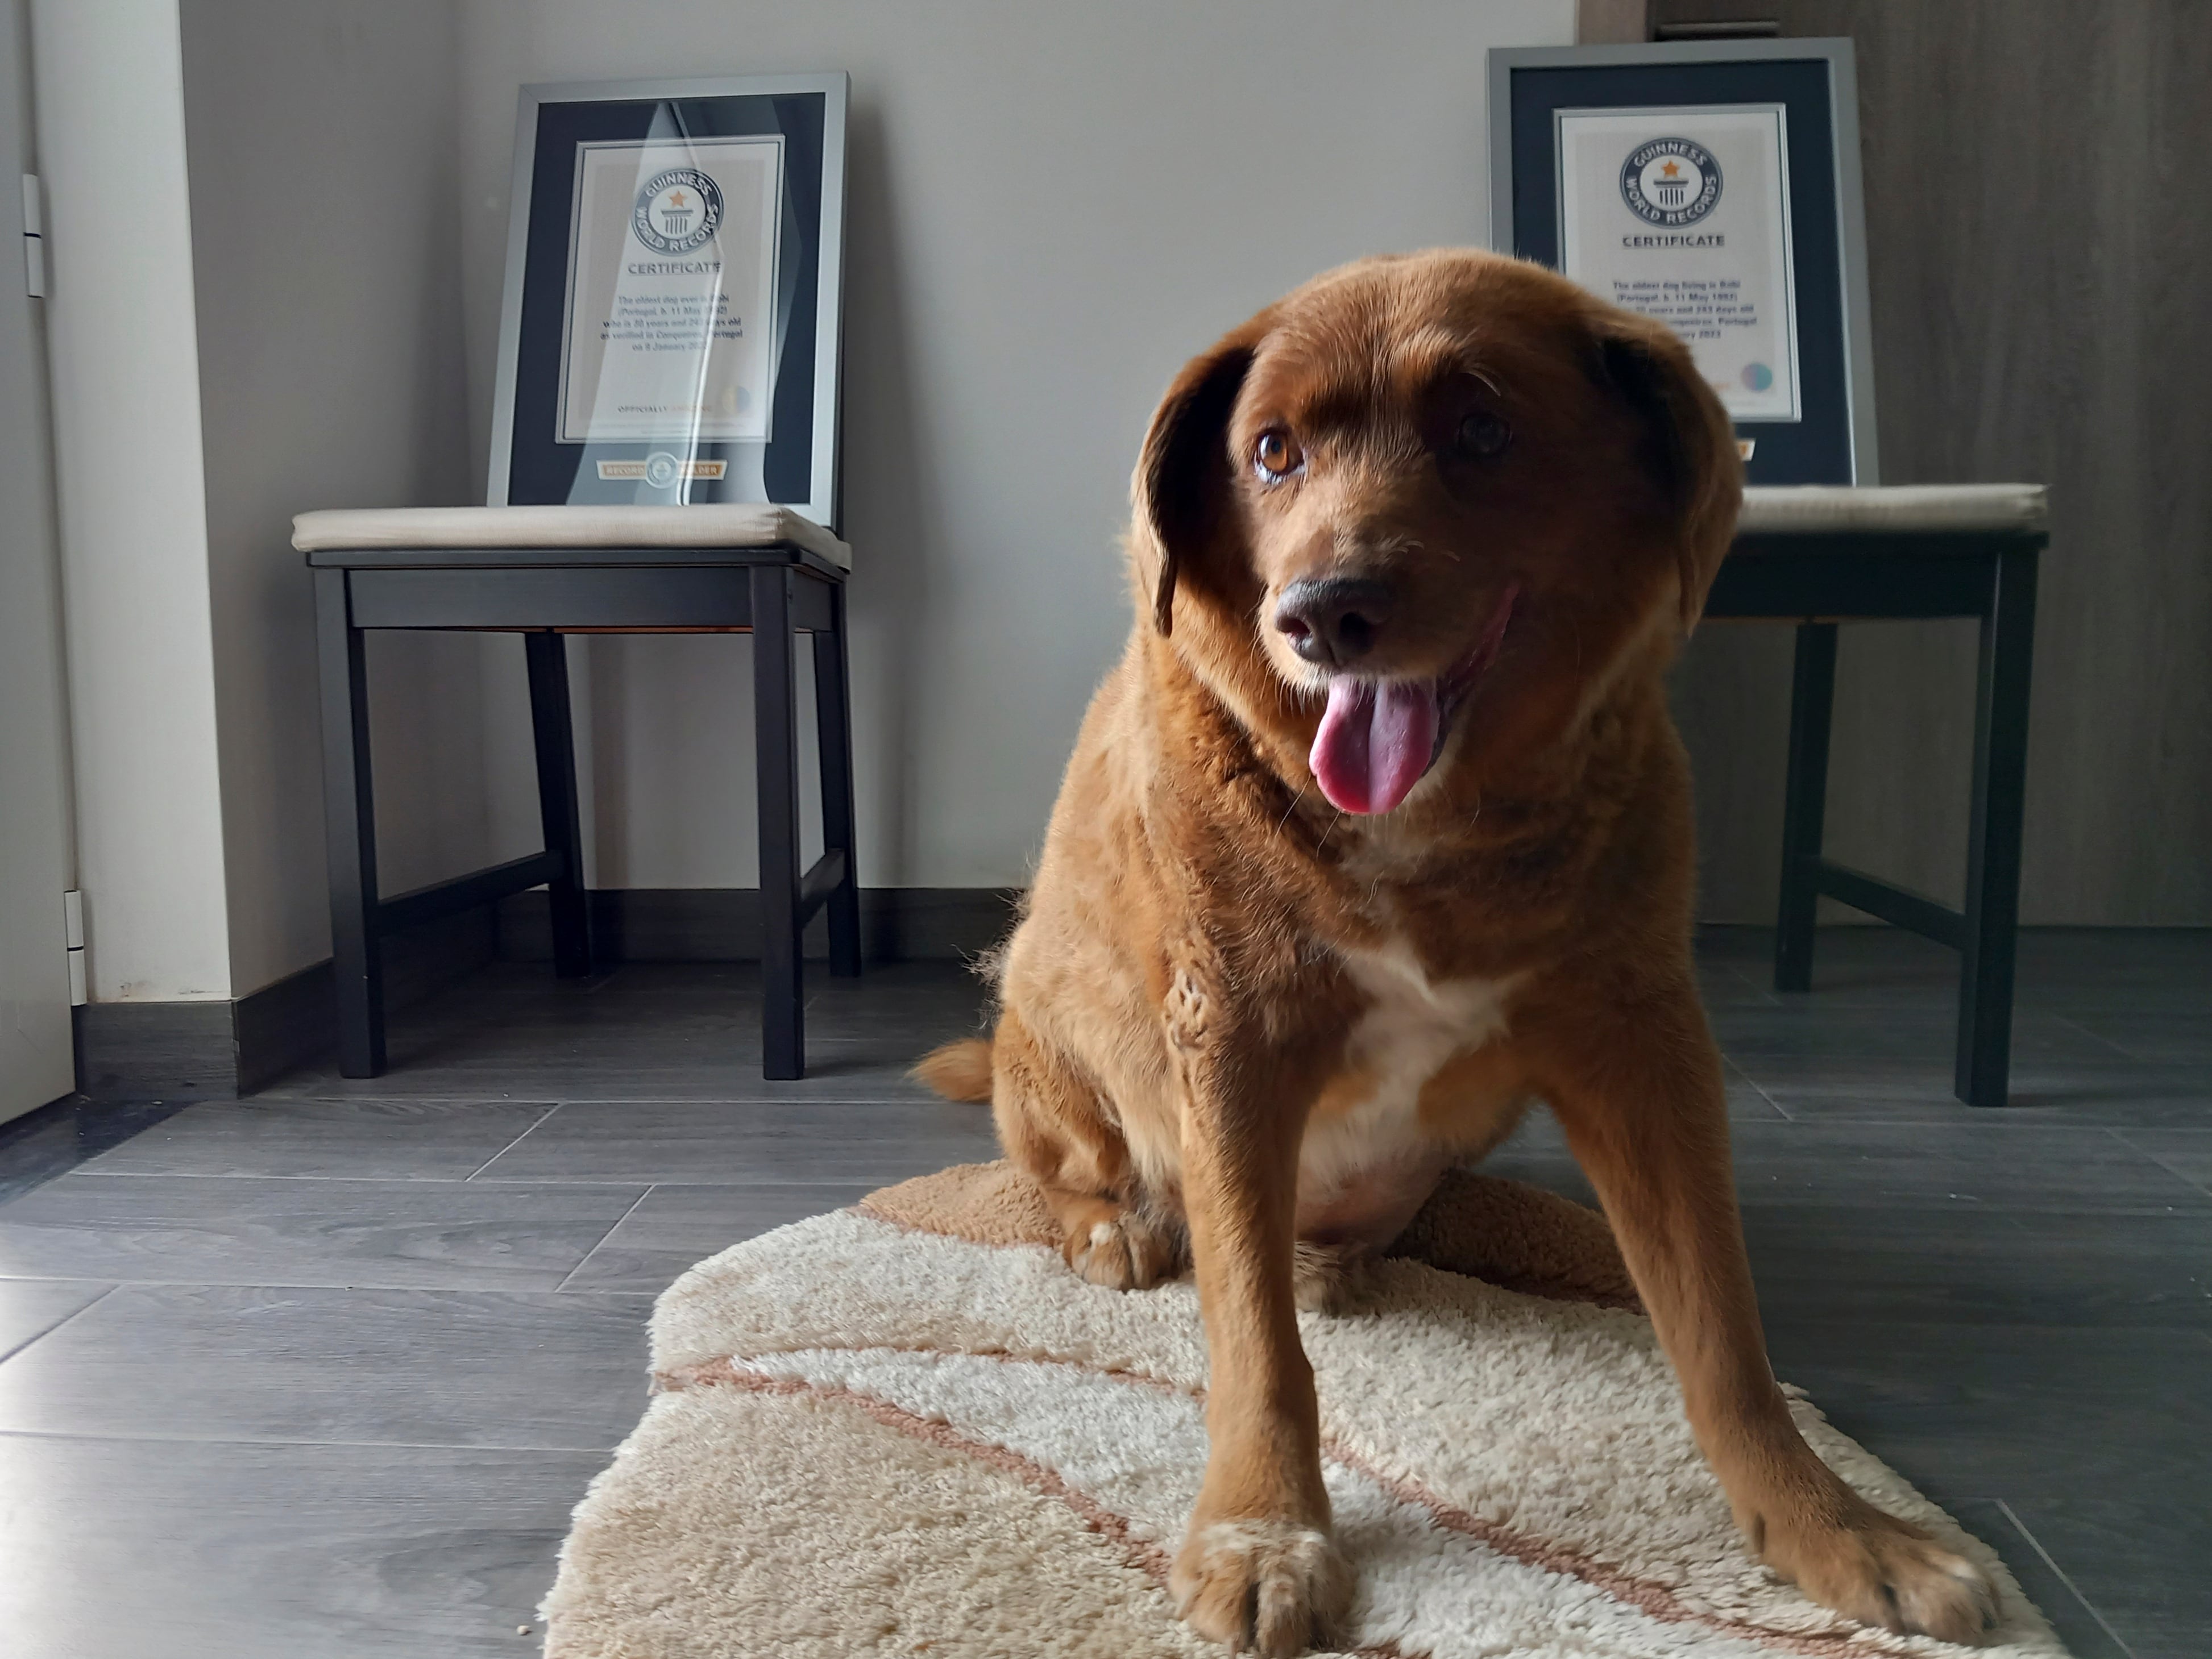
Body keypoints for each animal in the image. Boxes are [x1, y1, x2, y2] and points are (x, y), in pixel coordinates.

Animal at [907, 250, 1999, 1659]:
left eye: (1482, 431)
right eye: (1270, 451)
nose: (1317, 614)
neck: (1426, 829)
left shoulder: (1641, 1035)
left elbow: (1721, 1333)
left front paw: (1834, 1527)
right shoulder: (1232, 1031)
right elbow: (1251, 1340)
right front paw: (1261, 1527)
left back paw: (1335, 1258)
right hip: (1052, 1021)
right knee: (1068, 1175)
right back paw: (1117, 1227)